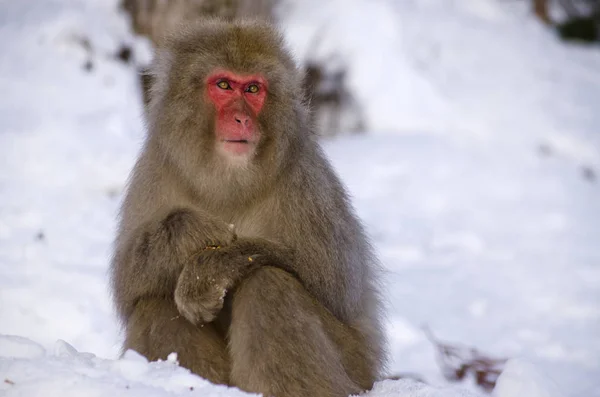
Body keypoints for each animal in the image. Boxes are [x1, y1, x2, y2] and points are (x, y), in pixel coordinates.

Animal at [110, 18, 386, 396]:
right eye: (224, 85)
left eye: (253, 89)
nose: (242, 118)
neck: (229, 181)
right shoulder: (157, 168)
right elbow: (127, 282)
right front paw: (190, 231)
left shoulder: (305, 179)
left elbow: (338, 287)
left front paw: (209, 270)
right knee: (154, 297)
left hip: (355, 366)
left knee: (268, 282)